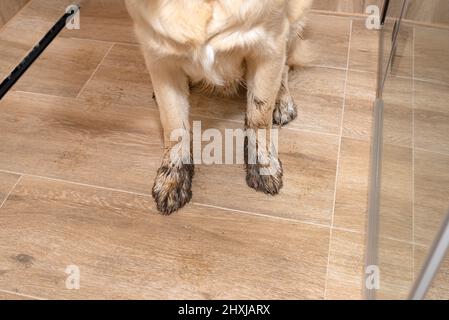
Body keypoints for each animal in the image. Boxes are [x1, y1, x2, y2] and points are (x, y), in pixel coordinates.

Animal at [124, 0, 310, 215]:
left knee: (285, 67)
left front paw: (263, 164)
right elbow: (173, 124)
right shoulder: (159, 57)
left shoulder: (269, 46)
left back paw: (282, 100)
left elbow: (259, 116)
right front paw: (173, 177)